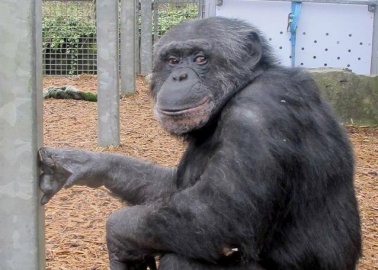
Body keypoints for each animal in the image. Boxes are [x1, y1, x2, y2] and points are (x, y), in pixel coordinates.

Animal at [39, 17, 362, 270]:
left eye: (200, 59)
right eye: (172, 60)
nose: (180, 76)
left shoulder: (260, 115)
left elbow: (216, 213)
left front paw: (118, 236)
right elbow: (170, 189)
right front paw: (83, 163)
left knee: (186, 256)